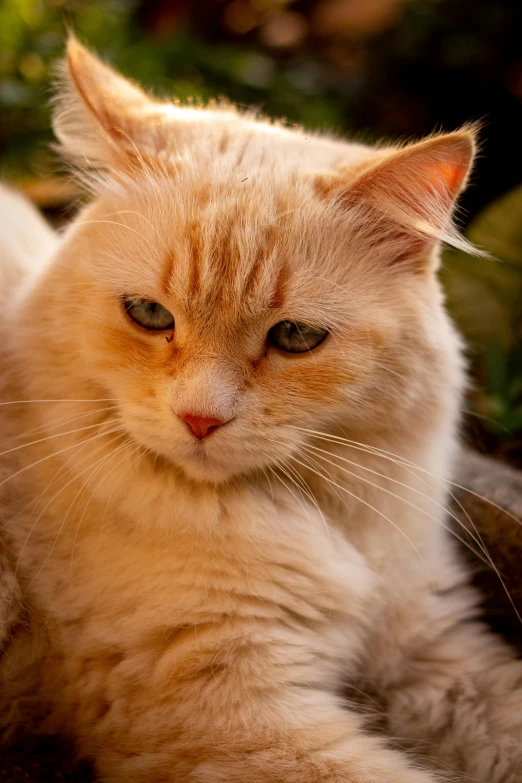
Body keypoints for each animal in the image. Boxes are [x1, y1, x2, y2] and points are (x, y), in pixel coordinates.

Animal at [1, 36, 520, 783]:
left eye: (295, 337)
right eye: (149, 315)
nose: (200, 420)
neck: (320, 519)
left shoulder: (435, 652)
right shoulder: (231, 713)